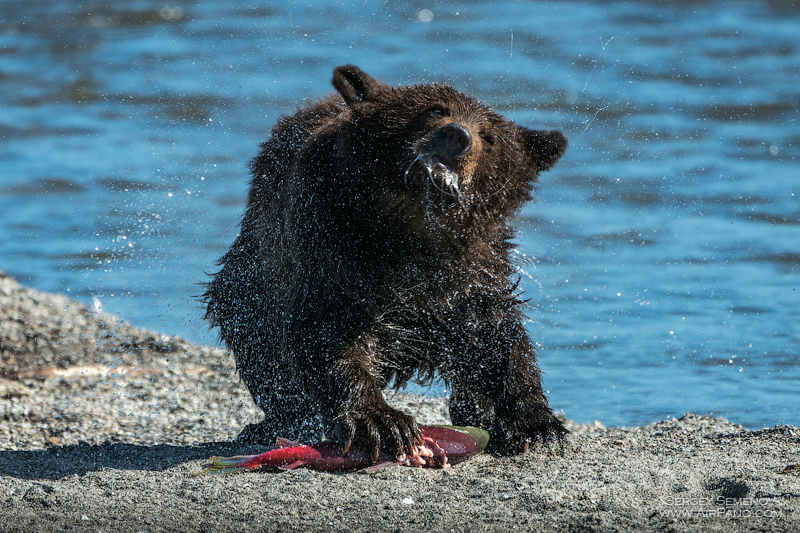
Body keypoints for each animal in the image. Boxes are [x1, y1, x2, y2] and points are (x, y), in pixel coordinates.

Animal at [206, 64, 568, 460]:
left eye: (489, 138)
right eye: (435, 109)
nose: (457, 136)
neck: (409, 228)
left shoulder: (470, 268)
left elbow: (494, 334)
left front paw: (536, 422)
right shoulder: (331, 241)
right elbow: (328, 330)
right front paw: (380, 421)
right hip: (255, 272)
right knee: (255, 339)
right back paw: (275, 422)